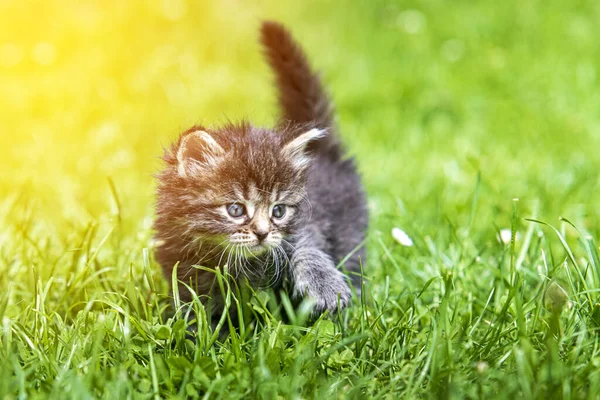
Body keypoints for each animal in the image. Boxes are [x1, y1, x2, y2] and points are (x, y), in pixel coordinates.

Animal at [152, 21, 368, 318]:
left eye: (278, 211)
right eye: (235, 210)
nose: (263, 233)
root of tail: (324, 151)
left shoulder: (305, 228)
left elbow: (307, 249)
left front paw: (324, 285)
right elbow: (196, 306)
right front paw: (191, 325)